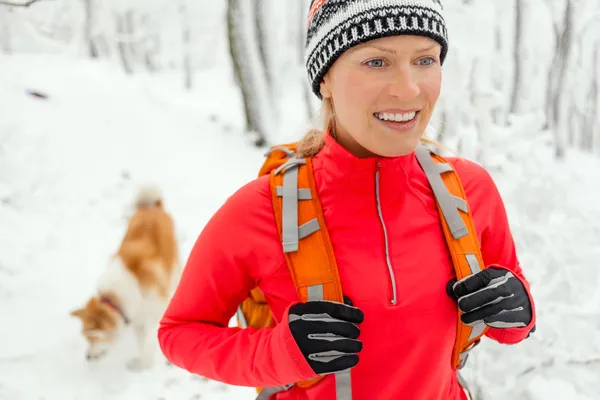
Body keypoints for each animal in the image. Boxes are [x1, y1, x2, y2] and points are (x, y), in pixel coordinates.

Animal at [69, 186, 179, 370]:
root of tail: (151, 207)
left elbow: (148, 343)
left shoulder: (151, 312)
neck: (115, 298)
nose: (88, 357)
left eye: (93, 338)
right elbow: (141, 342)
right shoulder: (136, 316)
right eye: (87, 338)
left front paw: (145, 365)